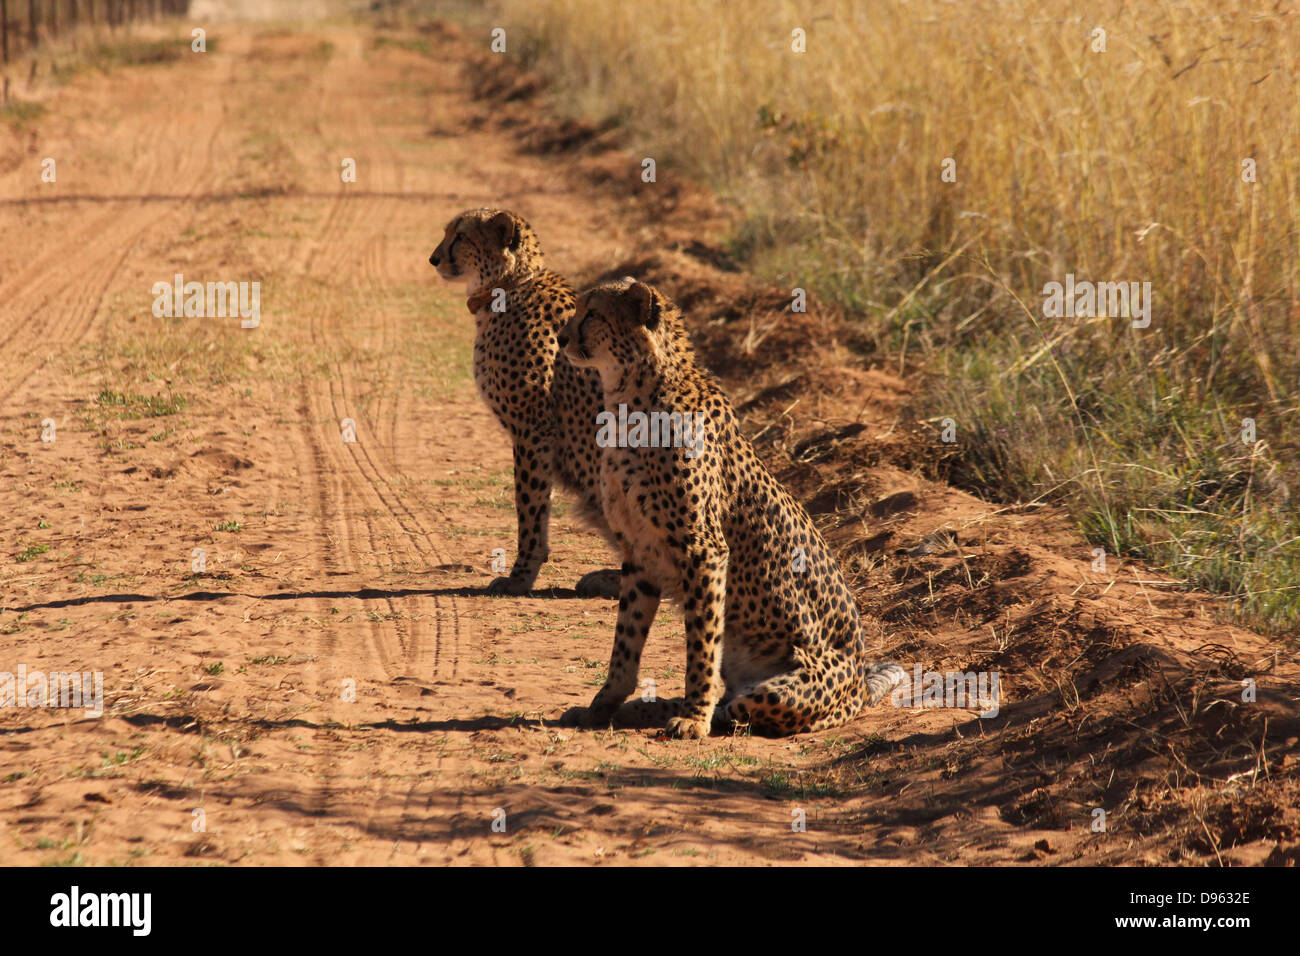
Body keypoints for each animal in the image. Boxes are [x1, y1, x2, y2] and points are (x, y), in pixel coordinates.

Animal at [431, 209, 618, 595]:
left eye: (460, 236)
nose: (434, 258)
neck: (509, 286)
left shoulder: (532, 428)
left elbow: (529, 505)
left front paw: (520, 576)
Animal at [559, 277, 904, 738]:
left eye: (593, 313)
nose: (562, 338)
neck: (630, 397)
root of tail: (861, 687)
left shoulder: (703, 550)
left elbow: (701, 645)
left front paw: (693, 718)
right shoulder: (639, 551)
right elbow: (625, 642)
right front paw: (604, 704)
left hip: (784, 690)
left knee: (736, 709)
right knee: (728, 700)